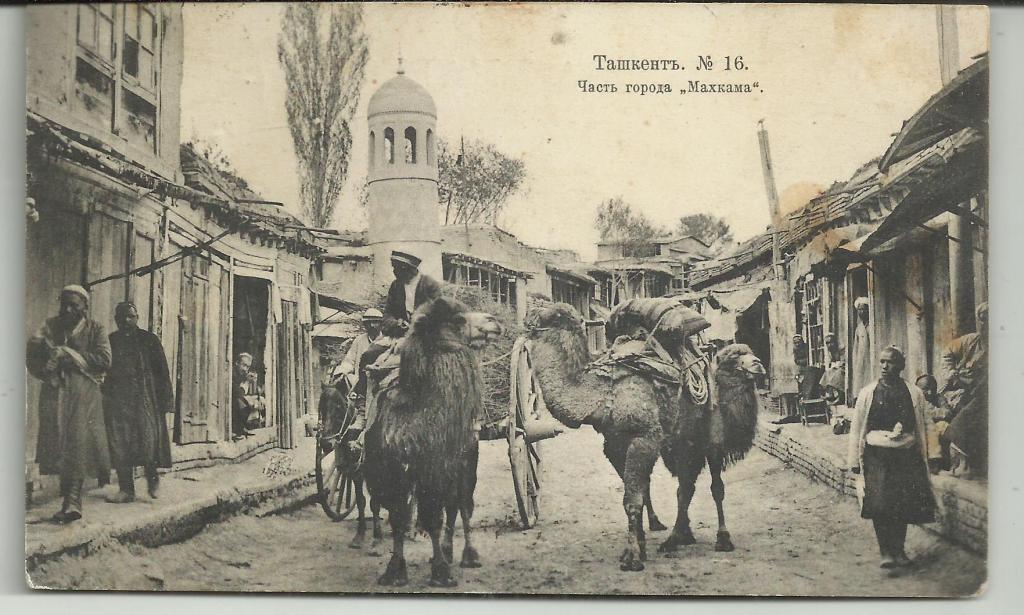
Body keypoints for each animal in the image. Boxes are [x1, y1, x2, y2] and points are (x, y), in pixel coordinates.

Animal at [362, 296, 501, 585]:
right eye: (458, 319)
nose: (493, 321)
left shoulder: (435, 471)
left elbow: (433, 519)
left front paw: (441, 572)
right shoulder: (391, 474)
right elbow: (398, 519)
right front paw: (394, 570)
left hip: (467, 463)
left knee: (462, 506)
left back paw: (468, 555)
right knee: (452, 507)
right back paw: (448, 551)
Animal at [528, 302, 761, 568]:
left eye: (553, 315)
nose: (758, 364)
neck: (604, 393)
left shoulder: (645, 437)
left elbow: (634, 498)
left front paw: (631, 556)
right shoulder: (614, 444)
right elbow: (636, 493)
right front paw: (640, 545)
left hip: (707, 435)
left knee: (715, 486)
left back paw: (720, 539)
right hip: (683, 440)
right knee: (686, 486)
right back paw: (679, 537)